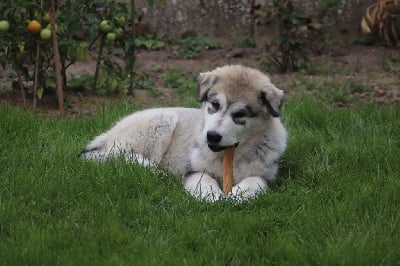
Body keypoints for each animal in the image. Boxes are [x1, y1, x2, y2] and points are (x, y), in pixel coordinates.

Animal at [82, 65, 288, 202]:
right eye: (215, 105)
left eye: (239, 114)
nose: (212, 136)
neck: (230, 156)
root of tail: (110, 132)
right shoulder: (193, 170)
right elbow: (203, 181)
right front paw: (213, 196)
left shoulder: (266, 176)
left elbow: (255, 182)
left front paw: (237, 195)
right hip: (161, 121)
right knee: (116, 155)